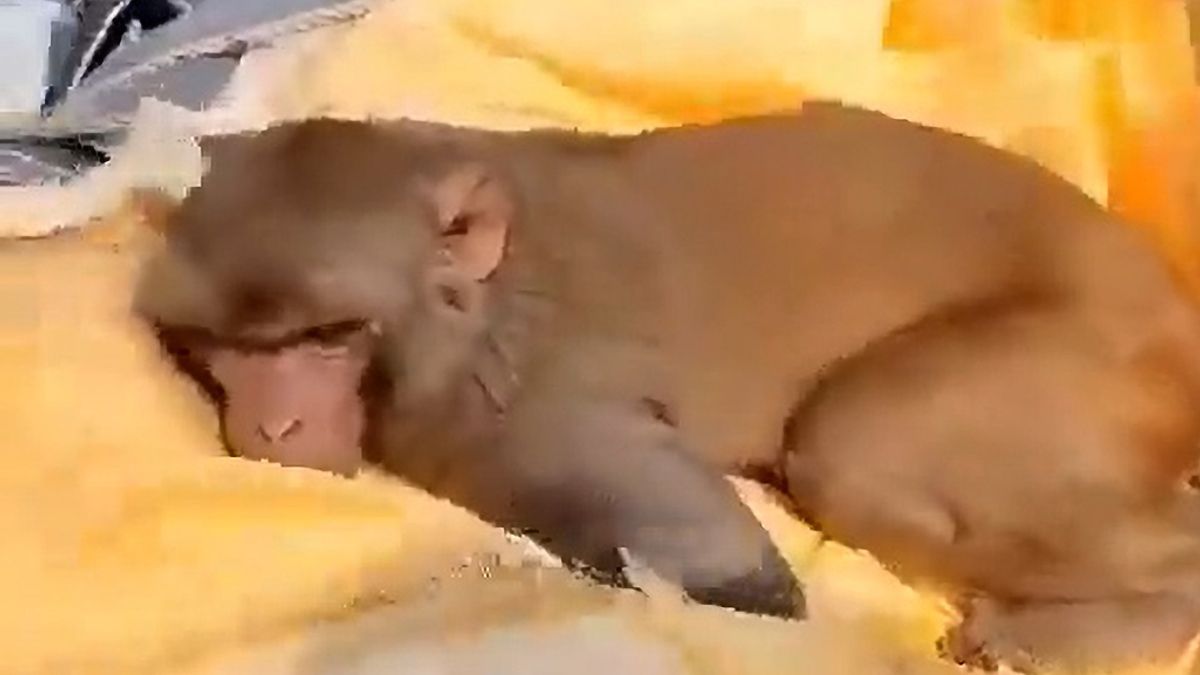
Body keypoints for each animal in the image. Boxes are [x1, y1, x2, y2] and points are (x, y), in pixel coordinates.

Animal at [133, 100, 1200, 672]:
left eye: (328, 335)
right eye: (222, 343)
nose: (274, 423)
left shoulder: (496, 415)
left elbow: (694, 543)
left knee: (850, 448)